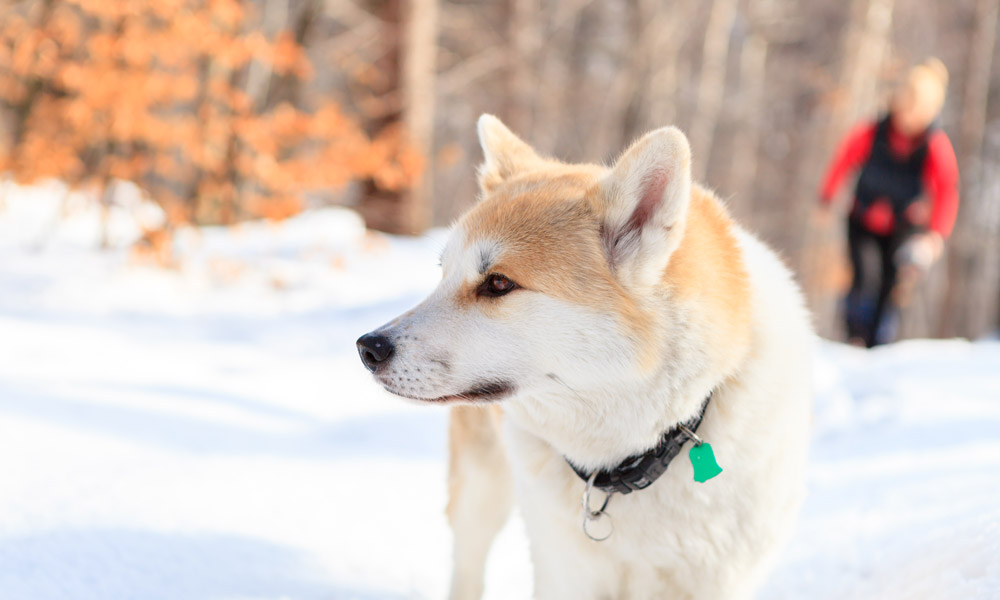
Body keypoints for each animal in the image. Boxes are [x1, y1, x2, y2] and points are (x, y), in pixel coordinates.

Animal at [358, 115, 812, 596]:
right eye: (444, 275)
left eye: (498, 283)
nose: (368, 347)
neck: (632, 456)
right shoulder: (566, 573)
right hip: (481, 491)